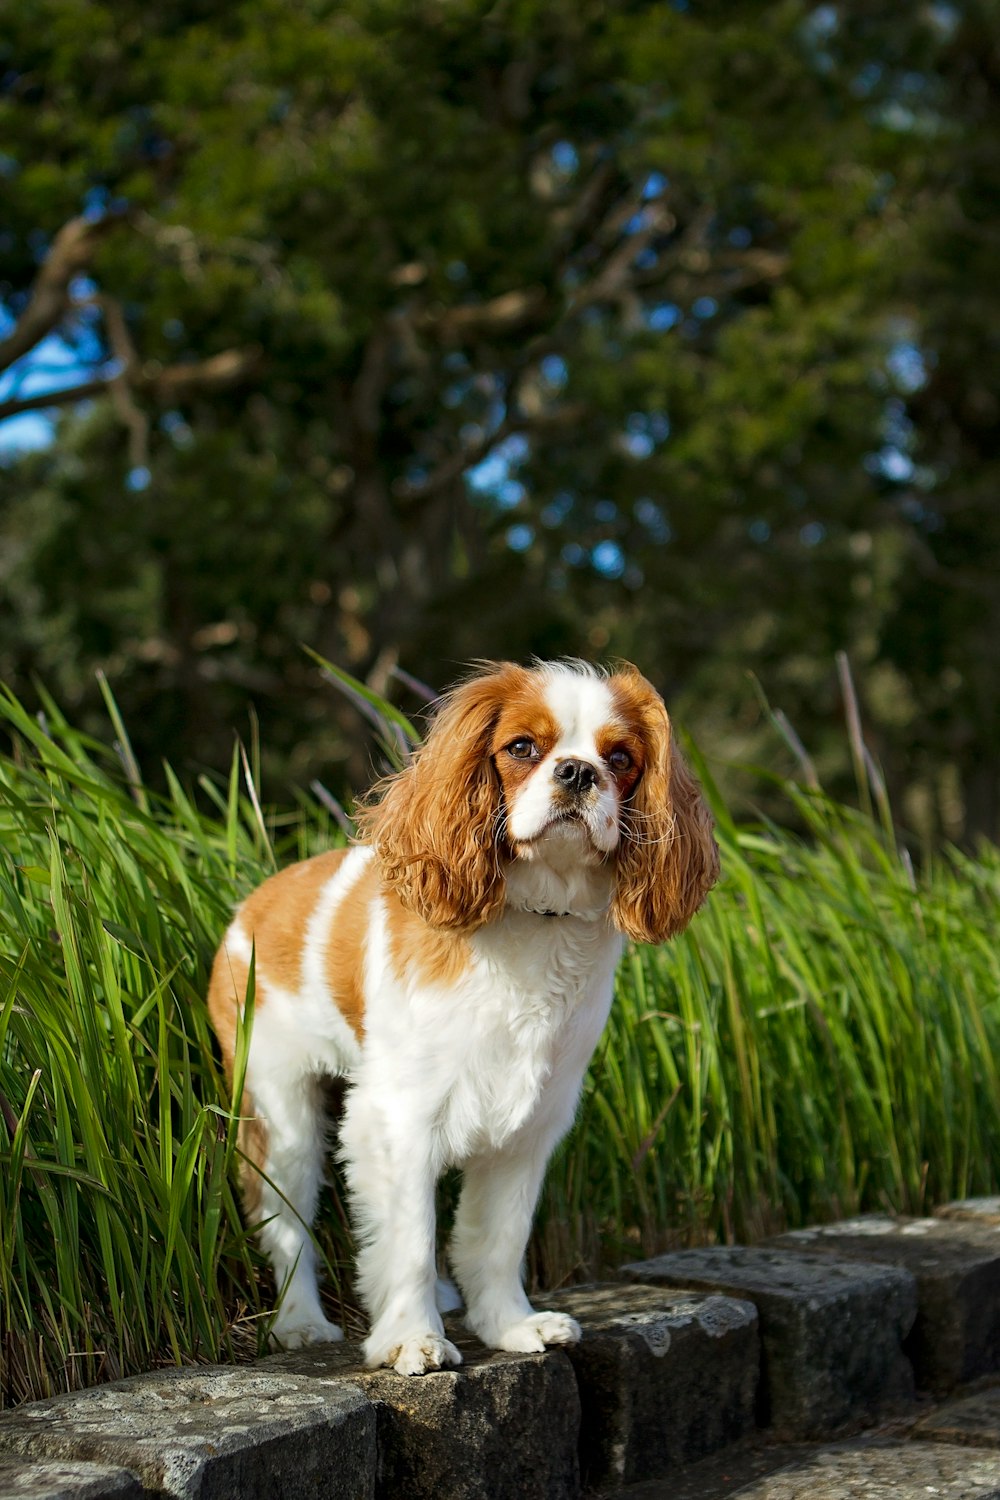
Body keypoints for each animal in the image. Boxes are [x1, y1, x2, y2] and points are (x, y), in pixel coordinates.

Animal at [209, 657, 719, 1374]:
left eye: (620, 759)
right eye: (522, 748)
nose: (578, 772)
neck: (539, 918)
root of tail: (251, 907)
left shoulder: (530, 1126)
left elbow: (497, 1237)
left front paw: (510, 1325)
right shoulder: (398, 1117)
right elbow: (410, 1241)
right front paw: (412, 1338)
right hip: (279, 1112)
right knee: (286, 1223)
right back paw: (301, 1323)